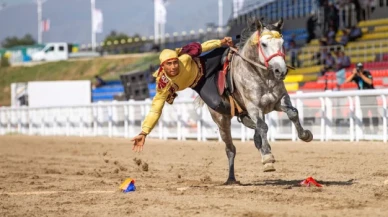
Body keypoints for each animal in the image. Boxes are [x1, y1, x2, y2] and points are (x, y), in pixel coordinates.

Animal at [205, 18, 314, 185]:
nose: (281, 71)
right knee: (230, 148)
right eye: (263, 44)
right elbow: (263, 127)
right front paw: (268, 156)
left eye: (282, 42)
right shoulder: (254, 107)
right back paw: (232, 178)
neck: (263, 76)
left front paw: (305, 135)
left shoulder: (279, 101)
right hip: (222, 119)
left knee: (256, 133)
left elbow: (293, 113)